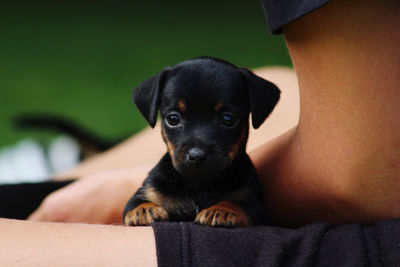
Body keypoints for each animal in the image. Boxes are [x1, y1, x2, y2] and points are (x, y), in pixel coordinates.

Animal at [123, 57, 280, 228]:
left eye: (228, 119)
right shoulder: (146, 193)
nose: (196, 155)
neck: (197, 186)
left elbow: (235, 203)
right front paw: (144, 210)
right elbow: (136, 203)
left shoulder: (256, 207)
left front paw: (222, 209)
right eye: (173, 119)